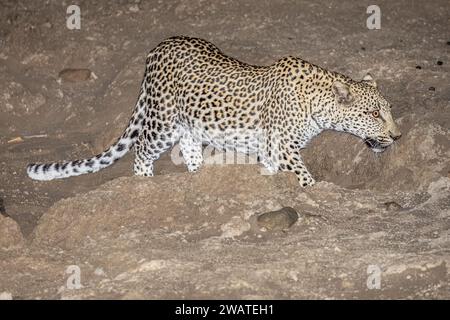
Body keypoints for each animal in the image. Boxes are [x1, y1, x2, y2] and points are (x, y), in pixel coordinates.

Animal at [26, 36, 402, 188]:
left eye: (388, 111)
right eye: (373, 114)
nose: (397, 135)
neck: (317, 103)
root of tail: (158, 47)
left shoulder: (272, 150)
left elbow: (272, 170)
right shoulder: (284, 146)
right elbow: (303, 176)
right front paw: (313, 190)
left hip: (188, 125)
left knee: (190, 149)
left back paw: (199, 176)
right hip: (162, 121)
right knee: (142, 149)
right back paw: (145, 182)